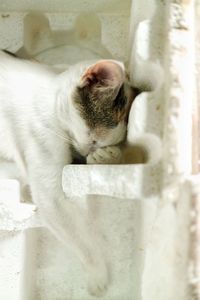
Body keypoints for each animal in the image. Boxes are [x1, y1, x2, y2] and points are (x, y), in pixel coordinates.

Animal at [0, 50, 139, 296]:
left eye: (99, 143)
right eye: (93, 139)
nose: (85, 153)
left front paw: (108, 157)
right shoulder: (50, 189)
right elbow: (78, 237)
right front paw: (97, 274)